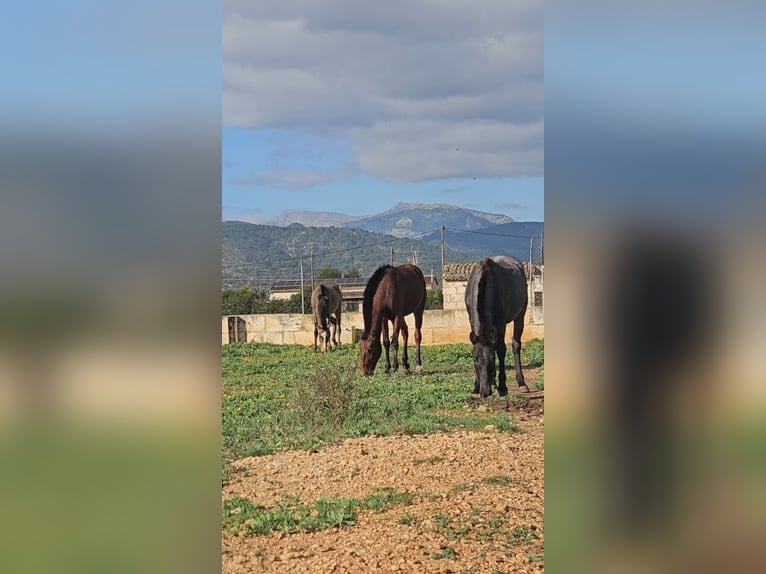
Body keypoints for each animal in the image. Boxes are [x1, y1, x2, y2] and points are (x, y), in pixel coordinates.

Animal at [464, 258, 532, 398]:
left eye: (491, 360)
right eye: (475, 359)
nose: (485, 392)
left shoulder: (500, 324)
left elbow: (500, 350)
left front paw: (502, 387)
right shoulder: (471, 320)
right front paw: (476, 387)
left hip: (520, 315)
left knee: (516, 345)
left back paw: (521, 383)